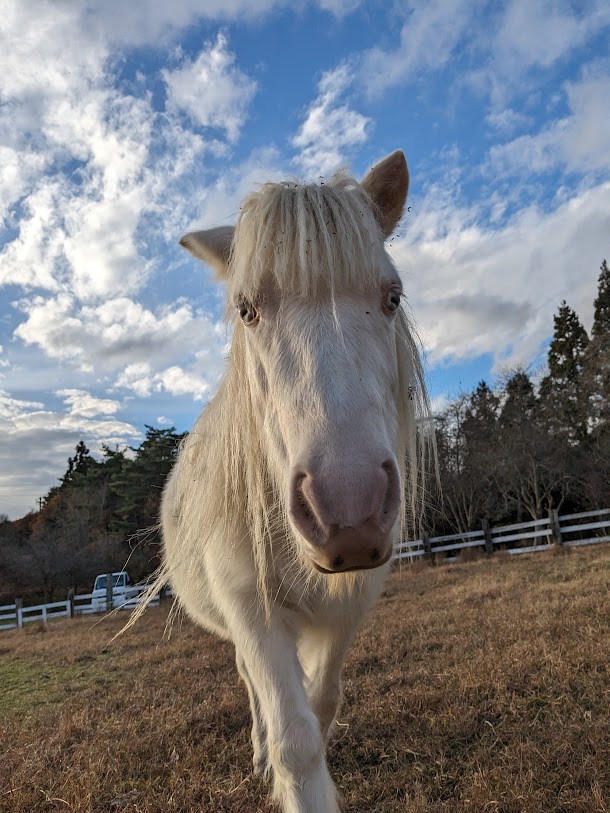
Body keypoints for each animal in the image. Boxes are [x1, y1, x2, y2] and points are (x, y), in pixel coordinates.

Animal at [157, 149, 426, 808]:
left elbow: (321, 702)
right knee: (252, 686)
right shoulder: (251, 610)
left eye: (392, 298)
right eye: (246, 311)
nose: (348, 513)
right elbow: (294, 741)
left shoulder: (350, 605)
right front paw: (280, 767)